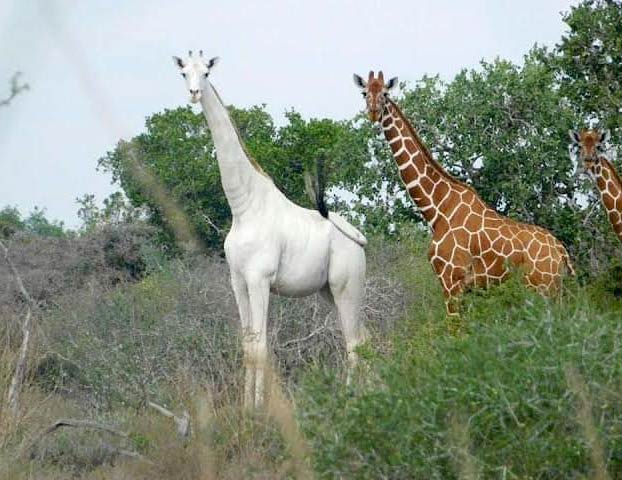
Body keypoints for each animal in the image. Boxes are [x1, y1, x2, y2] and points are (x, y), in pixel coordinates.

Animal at [173, 51, 368, 404]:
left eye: (206, 72)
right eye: (184, 73)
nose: (194, 93)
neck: (244, 207)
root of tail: (360, 239)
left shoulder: (260, 279)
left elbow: (262, 348)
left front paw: (258, 410)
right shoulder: (237, 281)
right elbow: (248, 345)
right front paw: (244, 407)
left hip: (347, 285)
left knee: (353, 343)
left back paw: (352, 398)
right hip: (328, 291)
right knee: (364, 337)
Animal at [356, 70, 576, 316]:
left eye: (385, 93)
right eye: (364, 92)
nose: (373, 112)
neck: (437, 209)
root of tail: (562, 252)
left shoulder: (451, 280)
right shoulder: (467, 288)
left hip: (543, 289)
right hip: (553, 290)